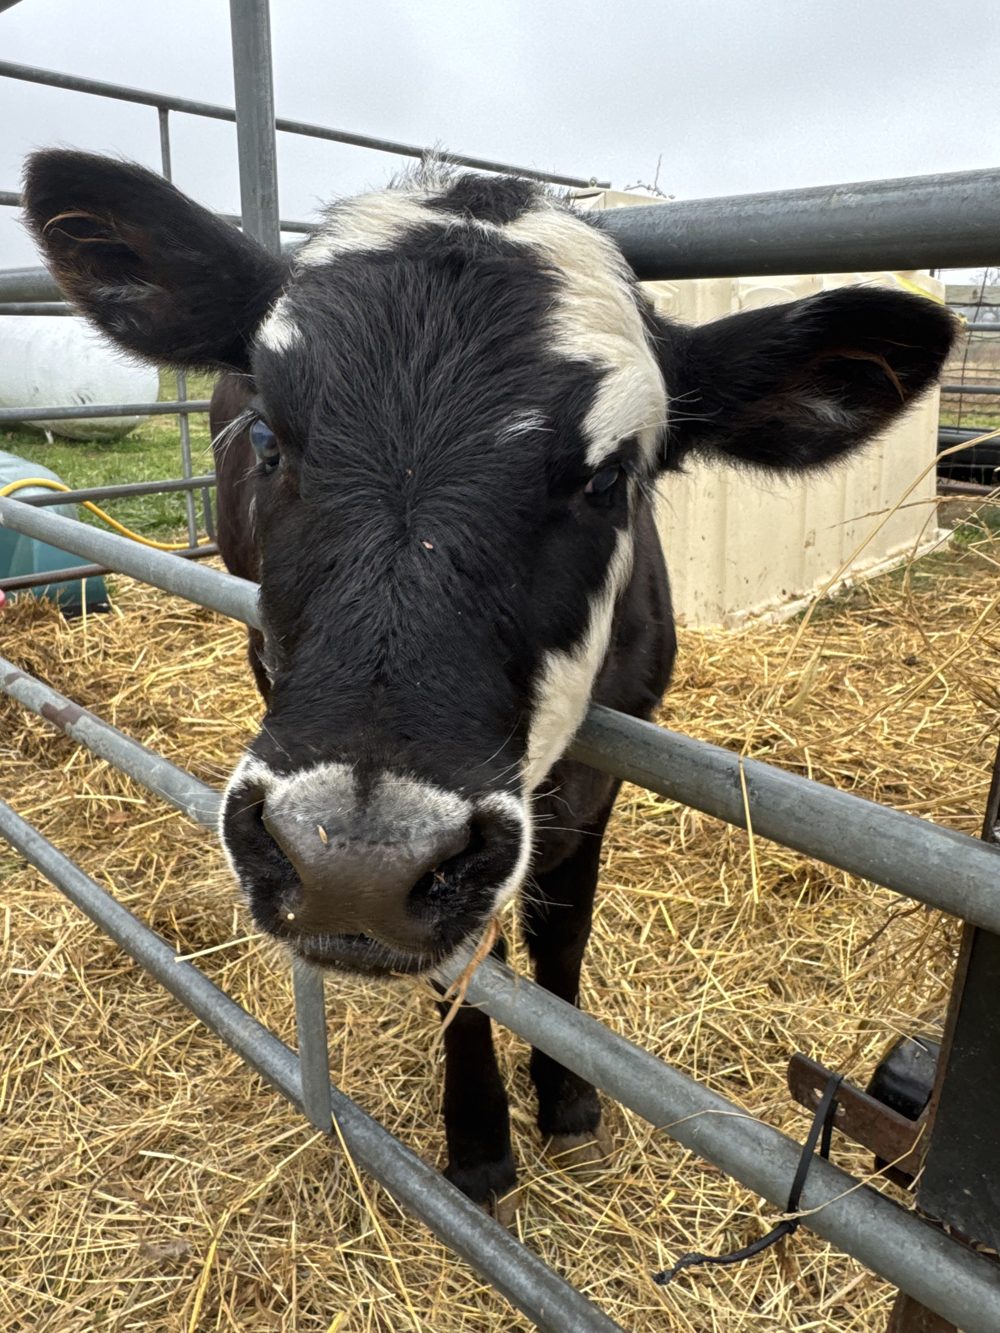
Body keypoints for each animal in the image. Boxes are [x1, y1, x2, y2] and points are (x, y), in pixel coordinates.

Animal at [23, 150, 954, 1218]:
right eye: (268, 435)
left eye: (608, 479)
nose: (352, 864)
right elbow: (474, 968)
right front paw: (477, 1134)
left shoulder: (600, 772)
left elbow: (562, 935)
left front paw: (569, 1097)